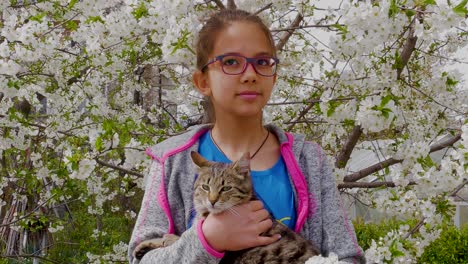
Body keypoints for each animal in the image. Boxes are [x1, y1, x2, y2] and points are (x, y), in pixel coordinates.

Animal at [133, 151, 320, 262]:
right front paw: (147, 245)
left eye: (226, 188)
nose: (212, 200)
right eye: (206, 187)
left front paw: (164, 239)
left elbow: (178, 238)